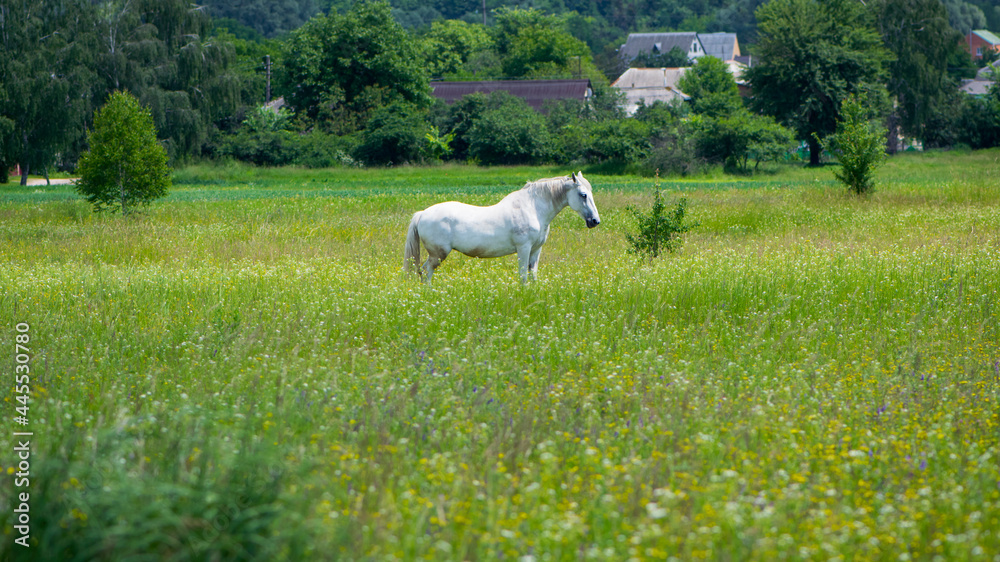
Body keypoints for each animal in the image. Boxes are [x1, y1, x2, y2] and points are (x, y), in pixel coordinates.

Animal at [404, 172, 601, 282]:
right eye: (583, 195)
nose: (595, 221)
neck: (533, 208)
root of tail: (423, 213)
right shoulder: (524, 248)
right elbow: (523, 276)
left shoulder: (536, 250)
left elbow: (533, 275)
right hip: (438, 254)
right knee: (426, 271)